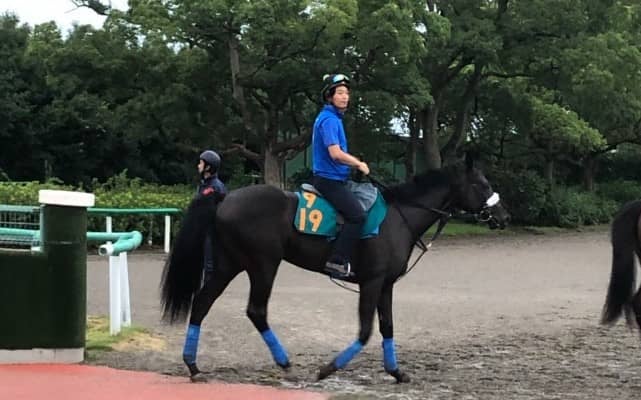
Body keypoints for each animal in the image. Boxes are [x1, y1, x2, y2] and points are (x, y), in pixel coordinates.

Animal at [160, 155, 510, 383]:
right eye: (481, 184)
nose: (504, 217)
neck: (399, 217)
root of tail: (224, 197)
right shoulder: (372, 282)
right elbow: (366, 331)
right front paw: (328, 368)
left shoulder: (386, 285)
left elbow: (387, 327)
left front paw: (396, 371)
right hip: (263, 264)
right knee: (256, 310)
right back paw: (284, 362)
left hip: (228, 264)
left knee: (202, 303)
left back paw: (193, 366)